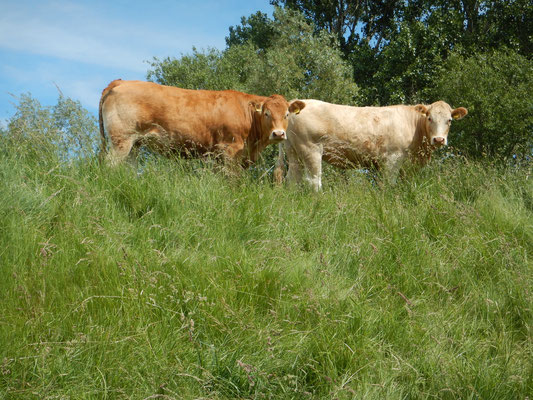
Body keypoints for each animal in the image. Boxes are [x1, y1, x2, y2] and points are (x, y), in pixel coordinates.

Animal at [98, 79, 304, 167]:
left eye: (287, 114)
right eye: (267, 113)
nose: (279, 134)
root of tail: (121, 81)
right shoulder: (230, 150)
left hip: (135, 144)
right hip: (121, 140)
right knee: (110, 165)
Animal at [276, 98, 468, 189]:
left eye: (449, 120)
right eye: (429, 118)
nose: (439, 139)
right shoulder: (392, 159)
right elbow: (389, 185)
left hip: (293, 151)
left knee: (292, 179)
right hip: (311, 149)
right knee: (313, 180)